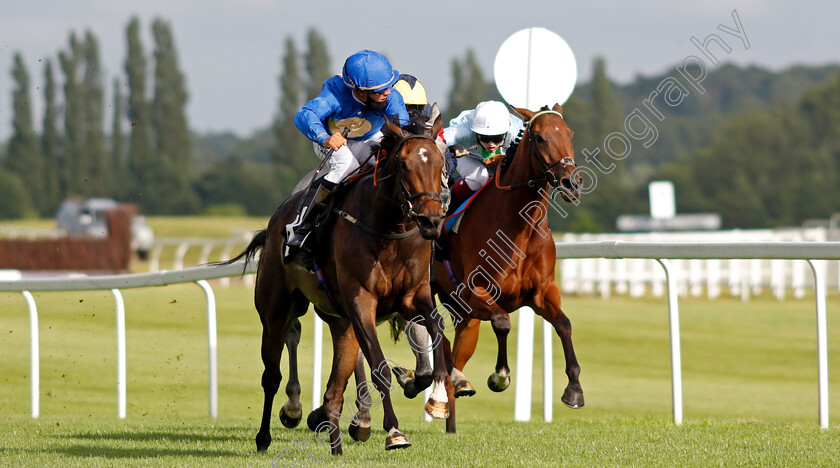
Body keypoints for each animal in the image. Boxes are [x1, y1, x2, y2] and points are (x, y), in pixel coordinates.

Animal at [228, 109, 452, 454]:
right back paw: (270, 432)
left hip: (340, 323)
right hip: (276, 310)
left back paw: (334, 442)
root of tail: (279, 214)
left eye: (441, 163)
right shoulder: (362, 302)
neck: (389, 229)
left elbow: (437, 330)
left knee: (333, 391)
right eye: (403, 164)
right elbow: (379, 368)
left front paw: (435, 396)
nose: (432, 220)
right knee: (272, 374)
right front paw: (394, 432)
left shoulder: (414, 295)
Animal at [434, 105, 584, 432]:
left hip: (460, 310)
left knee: (455, 348)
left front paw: (574, 389)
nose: (572, 183)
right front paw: (500, 376)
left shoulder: (542, 293)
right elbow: (503, 322)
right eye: (539, 137)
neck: (521, 228)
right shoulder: (476, 291)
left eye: (570, 134)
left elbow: (564, 324)